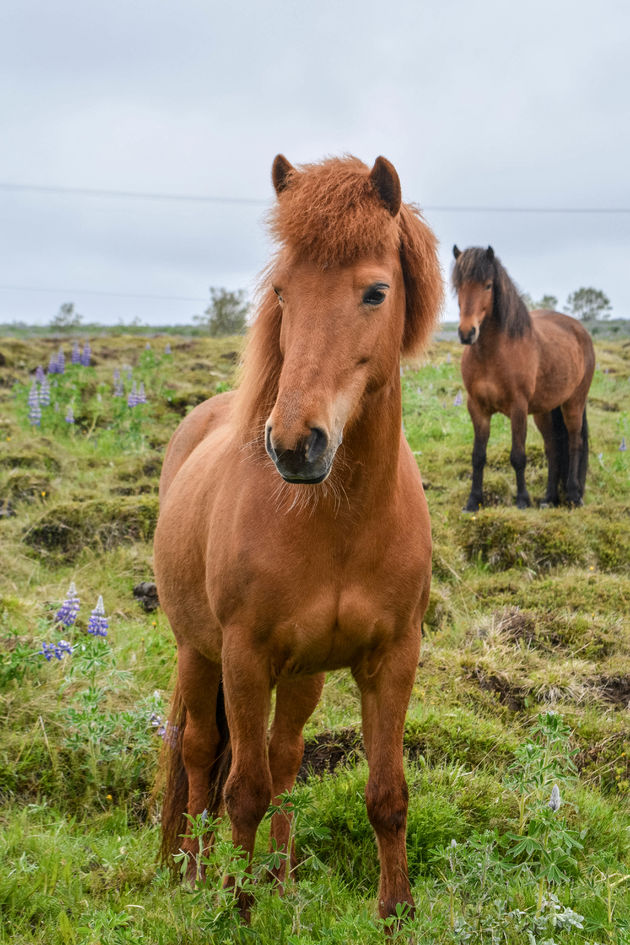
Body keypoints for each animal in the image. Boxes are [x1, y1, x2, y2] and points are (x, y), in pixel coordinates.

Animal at [155, 155, 442, 920]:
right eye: (283, 290)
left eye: (375, 291)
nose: (293, 445)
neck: (336, 520)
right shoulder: (244, 657)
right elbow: (242, 791)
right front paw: (233, 905)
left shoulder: (393, 658)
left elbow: (386, 795)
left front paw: (396, 912)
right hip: (197, 653)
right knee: (199, 754)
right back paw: (192, 871)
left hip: (304, 672)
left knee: (284, 757)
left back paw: (280, 880)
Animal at [452, 243, 596, 508]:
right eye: (458, 285)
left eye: (488, 285)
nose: (467, 333)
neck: (493, 353)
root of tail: (580, 330)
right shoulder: (477, 408)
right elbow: (478, 456)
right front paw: (473, 501)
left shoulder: (518, 407)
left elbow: (518, 455)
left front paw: (522, 500)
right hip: (544, 411)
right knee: (553, 448)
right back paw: (549, 498)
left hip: (574, 403)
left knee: (574, 443)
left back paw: (573, 495)